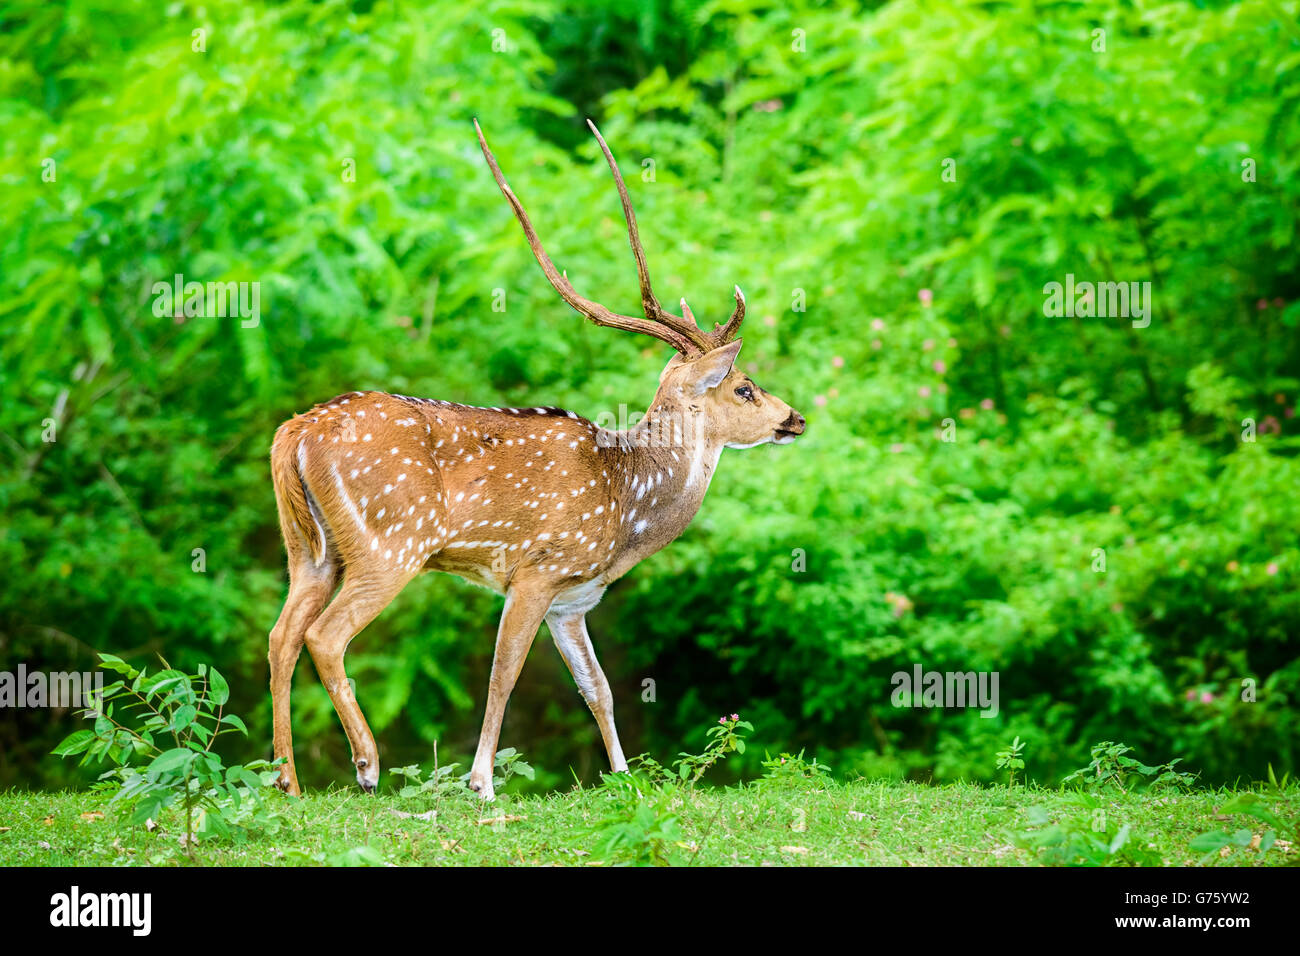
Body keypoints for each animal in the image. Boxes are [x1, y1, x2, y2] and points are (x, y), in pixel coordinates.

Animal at [266, 119, 800, 801]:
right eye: (745, 388)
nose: (795, 418)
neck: (625, 510)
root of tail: (293, 433)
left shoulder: (573, 599)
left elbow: (597, 688)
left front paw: (624, 778)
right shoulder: (536, 572)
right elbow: (504, 674)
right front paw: (481, 782)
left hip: (309, 547)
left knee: (282, 635)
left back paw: (287, 780)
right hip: (392, 542)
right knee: (323, 635)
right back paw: (366, 764)